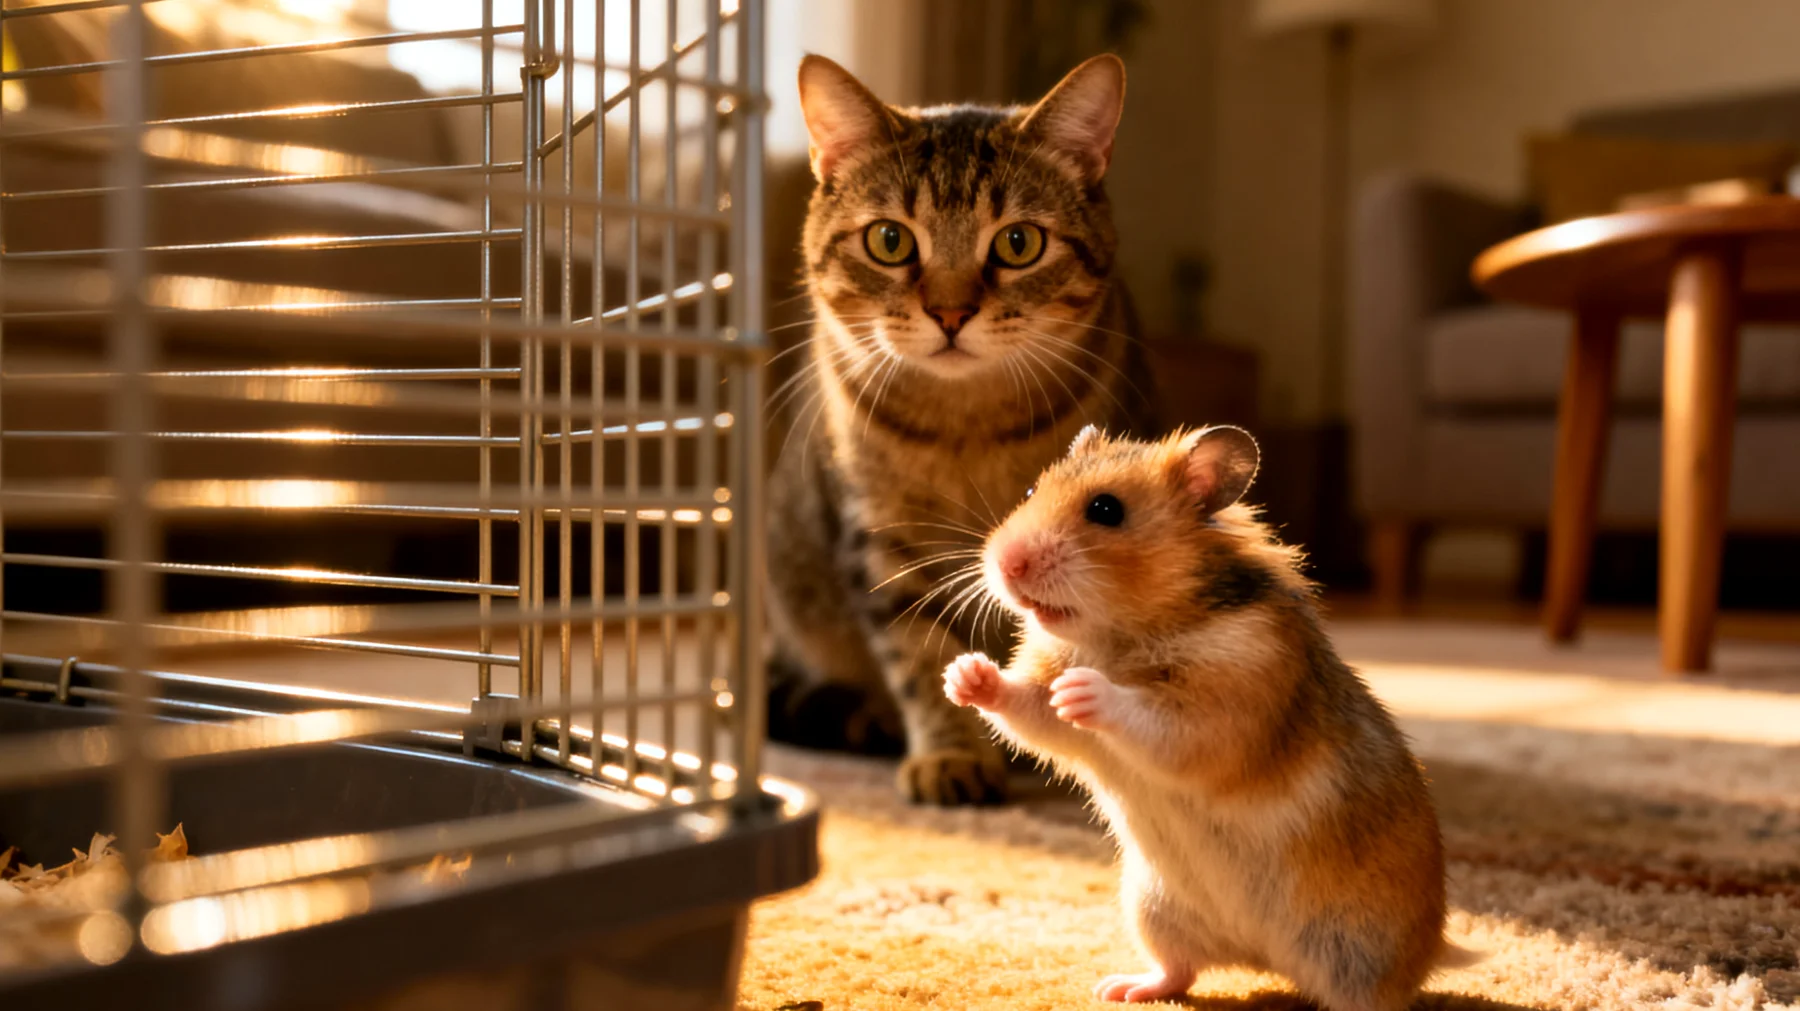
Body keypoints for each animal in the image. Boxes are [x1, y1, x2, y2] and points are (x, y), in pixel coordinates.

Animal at [942, 425, 1472, 1009]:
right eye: (1032, 490)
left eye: (1106, 509)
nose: (1005, 564)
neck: (1121, 634)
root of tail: (1268, 960)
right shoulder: (1053, 712)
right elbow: (1026, 707)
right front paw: (964, 675)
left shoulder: (1229, 707)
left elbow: (1156, 722)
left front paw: (1081, 690)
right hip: (1154, 908)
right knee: (1181, 971)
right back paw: (1120, 988)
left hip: (1363, 951)